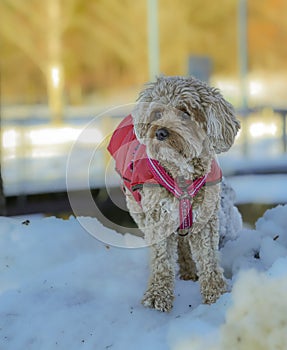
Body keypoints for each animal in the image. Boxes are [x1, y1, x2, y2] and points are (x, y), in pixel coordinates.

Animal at [107, 76, 241, 312]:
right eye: (157, 113)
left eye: (185, 112)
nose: (160, 132)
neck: (181, 173)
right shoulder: (157, 216)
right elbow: (161, 258)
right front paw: (157, 295)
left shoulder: (205, 218)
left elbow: (208, 258)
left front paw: (216, 295)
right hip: (138, 209)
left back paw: (189, 270)